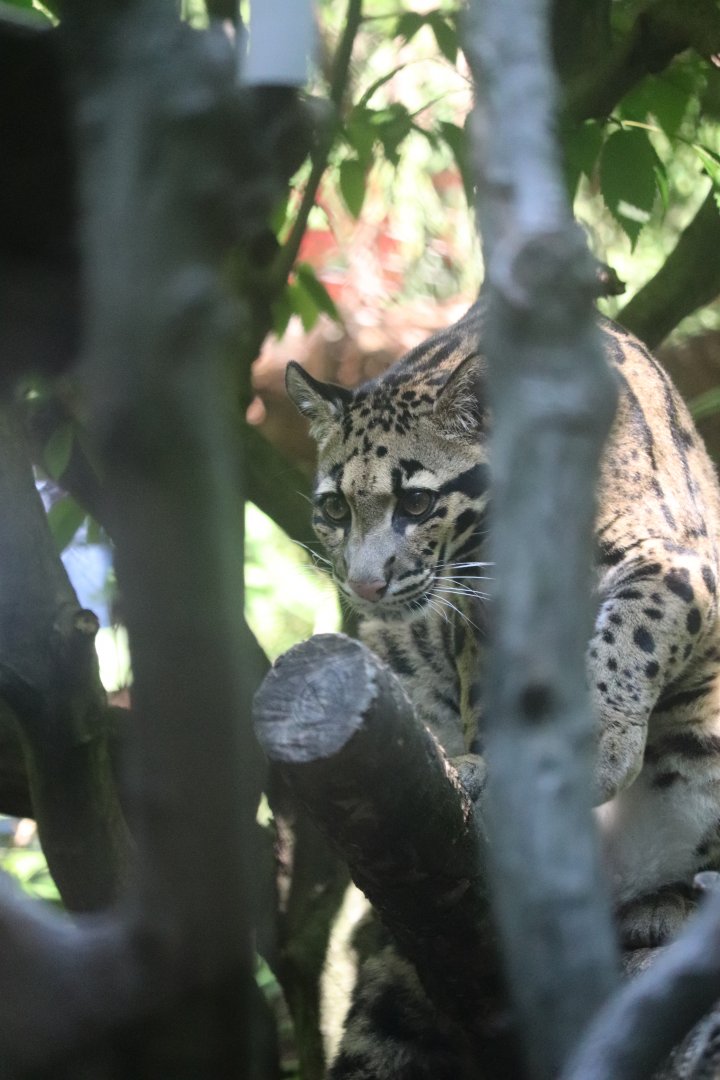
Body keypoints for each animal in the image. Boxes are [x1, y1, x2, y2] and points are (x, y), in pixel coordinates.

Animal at [286, 301, 720, 1078]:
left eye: (417, 501)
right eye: (334, 509)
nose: (363, 586)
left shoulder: (679, 562)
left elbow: (635, 625)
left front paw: (596, 744)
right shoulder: (473, 621)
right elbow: (494, 699)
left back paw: (665, 906)